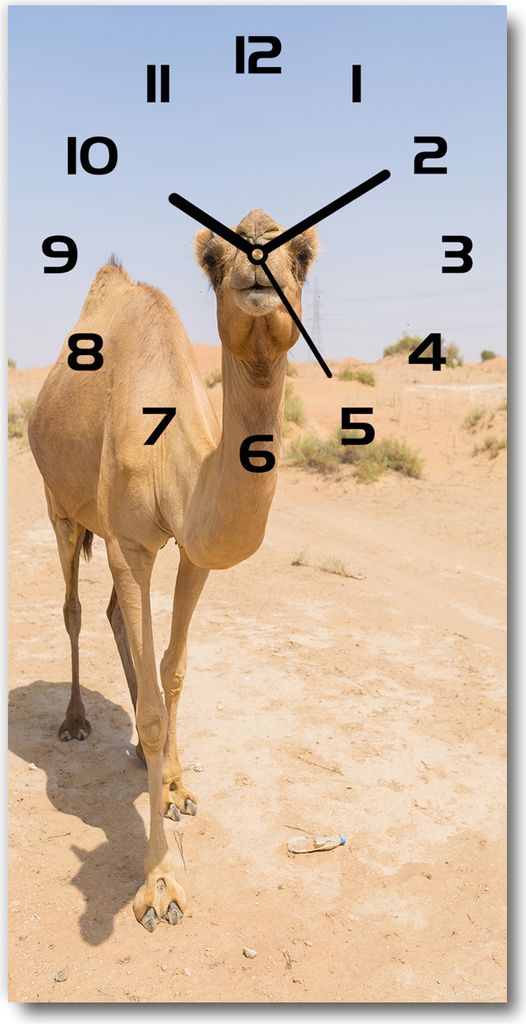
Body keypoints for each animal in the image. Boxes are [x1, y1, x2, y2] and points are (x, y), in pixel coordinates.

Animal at [28, 209, 318, 931]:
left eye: (303, 252)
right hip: (59, 504)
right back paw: (76, 720)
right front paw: (159, 884)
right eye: (214, 258)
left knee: (111, 616)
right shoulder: (133, 544)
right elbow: (158, 703)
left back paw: (140, 754)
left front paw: (176, 785)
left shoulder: (190, 551)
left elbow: (174, 671)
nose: (260, 264)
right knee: (75, 608)